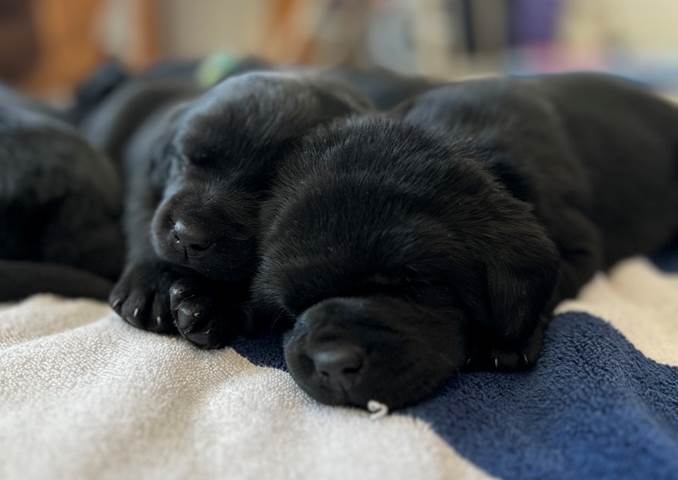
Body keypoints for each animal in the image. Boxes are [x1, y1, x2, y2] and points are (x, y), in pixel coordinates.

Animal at [107, 71, 372, 346]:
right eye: (187, 159)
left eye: (270, 189)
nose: (189, 236)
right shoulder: (144, 180)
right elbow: (145, 223)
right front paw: (151, 286)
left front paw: (212, 303)